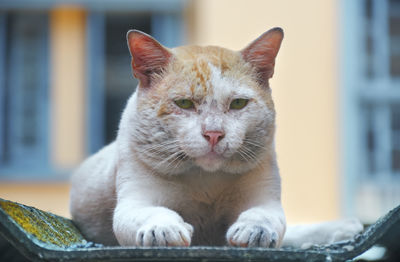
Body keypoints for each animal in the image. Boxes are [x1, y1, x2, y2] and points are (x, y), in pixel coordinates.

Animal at [70, 27, 364, 247]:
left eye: (238, 104)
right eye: (185, 103)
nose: (213, 134)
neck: (205, 181)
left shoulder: (265, 196)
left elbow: (265, 217)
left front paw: (254, 230)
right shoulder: (135, 199)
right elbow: (152, 213)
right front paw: (164, 229)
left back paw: (344, 228)